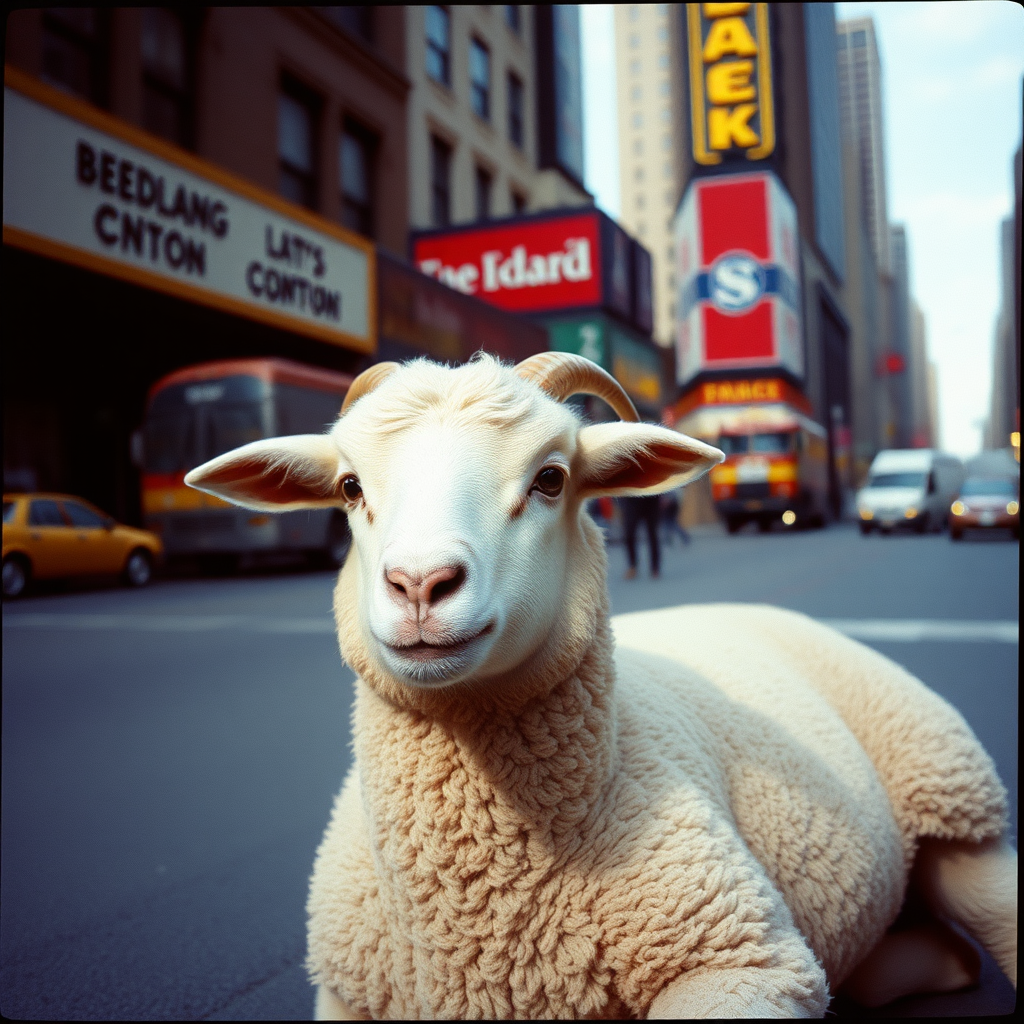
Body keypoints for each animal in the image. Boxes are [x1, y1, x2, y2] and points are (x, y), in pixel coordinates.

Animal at [186, 350, 1015, 1015]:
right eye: (351, 487)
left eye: (551, 478)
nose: (419, 584)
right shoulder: (348, 991)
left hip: (955, 799)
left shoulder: (737, 956)